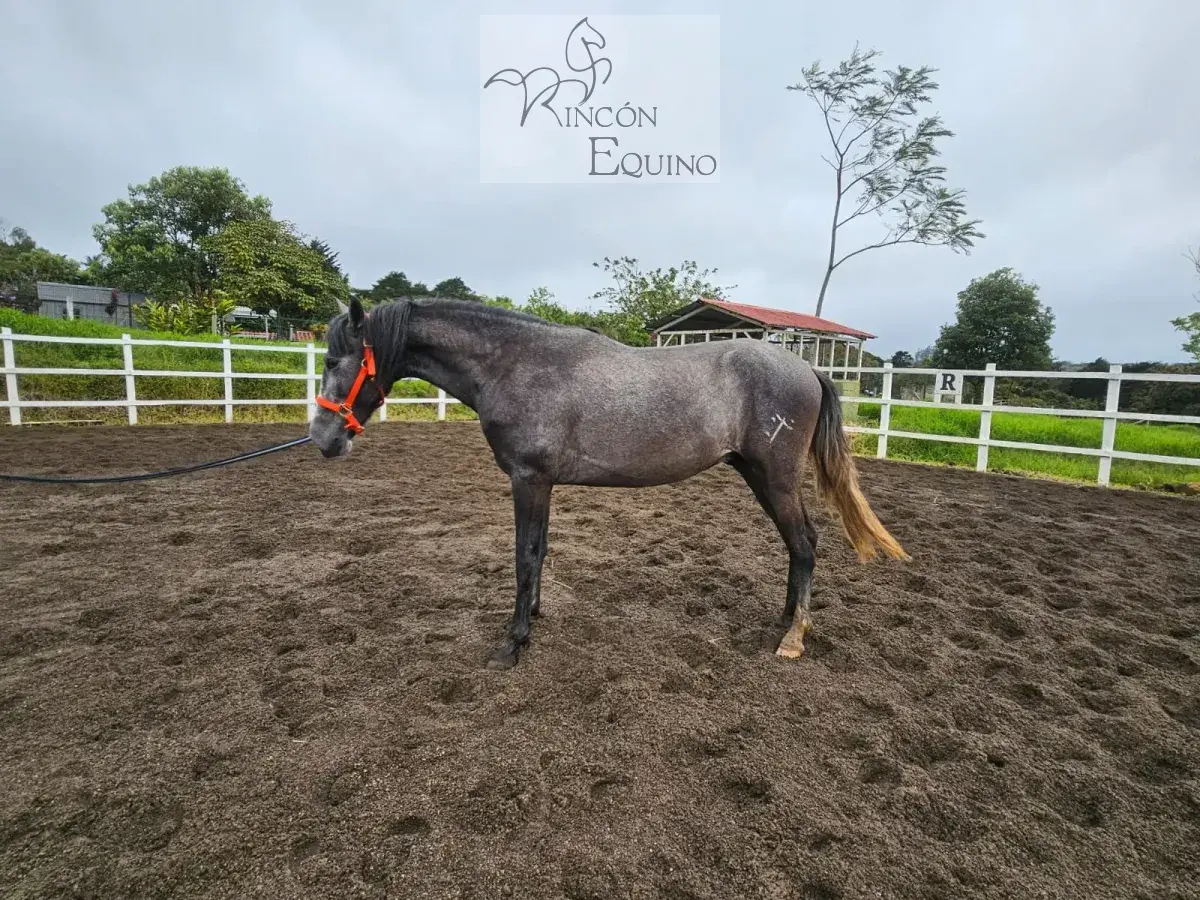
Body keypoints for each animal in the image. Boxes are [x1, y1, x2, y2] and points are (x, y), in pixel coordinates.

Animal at [310, 296, 909, 670]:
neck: (516, 365)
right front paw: (532, 616)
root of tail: (807, 368)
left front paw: (512, 643)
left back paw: (793, 639)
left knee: (805, 543)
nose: (322, 437)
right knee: (797, 545)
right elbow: (540, 551)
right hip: (757, 475)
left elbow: (524, 554)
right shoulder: (543, 484)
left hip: (776, 477)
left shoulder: (528, 480)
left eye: (337, 359)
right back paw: (785, 619)